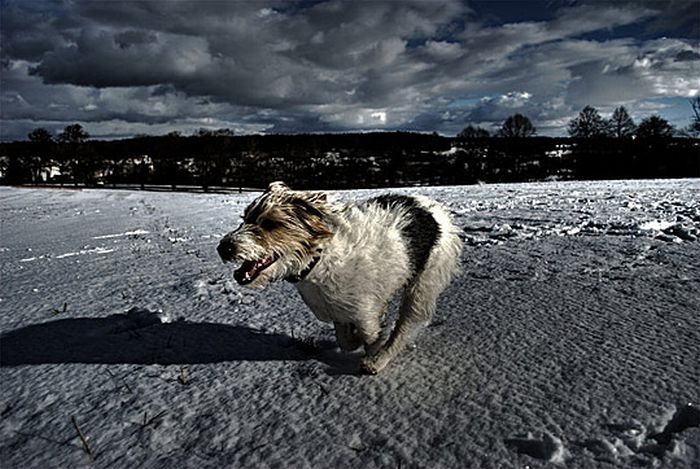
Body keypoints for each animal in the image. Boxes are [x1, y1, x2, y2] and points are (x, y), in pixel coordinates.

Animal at [216, 181, 462, 374]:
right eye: (244, 218)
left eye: (269, 224)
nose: (223, 248)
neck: (319, 260)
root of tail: (433, 208)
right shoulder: (336, 308)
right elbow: (345, 340)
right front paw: (354, 339)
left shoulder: (364, 311)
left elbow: (371, 335)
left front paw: (374, 349)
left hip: (423, 284)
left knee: (407, 325)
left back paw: (378, 361)